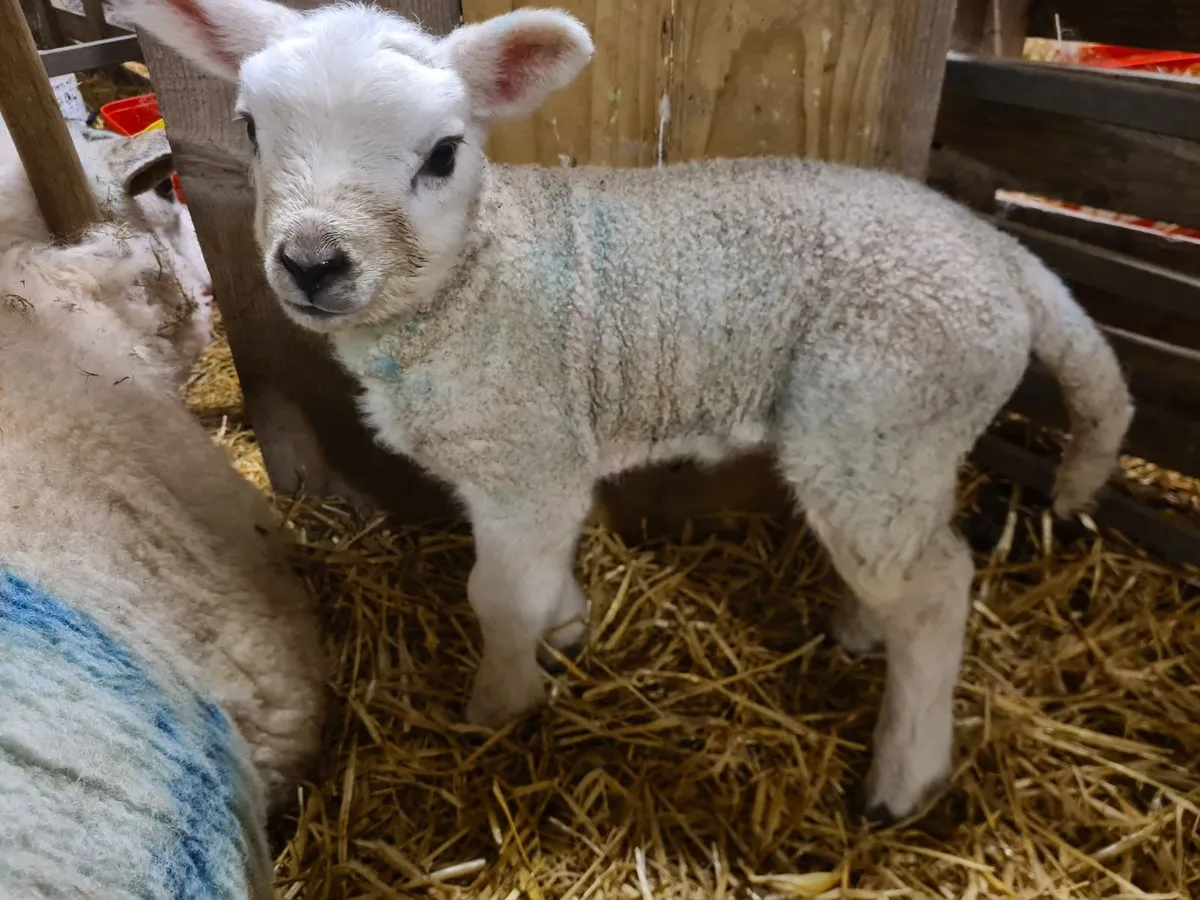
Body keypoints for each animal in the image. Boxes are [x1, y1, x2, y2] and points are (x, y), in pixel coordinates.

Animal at [124, 0, 1134, 821]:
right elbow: (541, 575)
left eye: (444, 154)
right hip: (908, 439)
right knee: (919, 553)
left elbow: (497, 595)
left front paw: (499, 706)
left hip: (878, 411)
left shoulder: (523, 452)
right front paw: (567, 629)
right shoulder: (540, 457)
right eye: (251, 129)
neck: (475, 278)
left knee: (938, 590)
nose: (313, 262)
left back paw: (904, 778)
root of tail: (1004, 258)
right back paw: (858, 629)